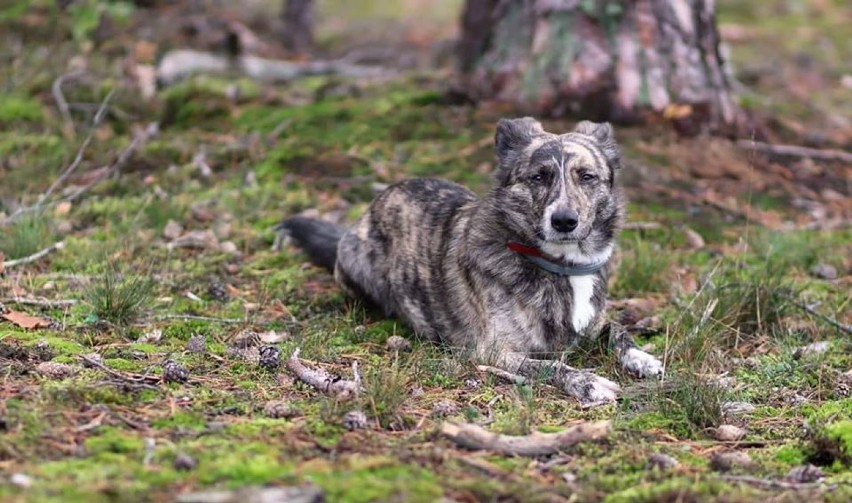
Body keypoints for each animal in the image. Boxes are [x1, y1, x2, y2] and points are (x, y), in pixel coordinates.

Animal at [280, 119, 664, 410]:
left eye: (586, 176)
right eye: (538, 176)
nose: (564, 221)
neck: (561, 265)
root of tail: (375, 203)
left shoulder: (594, 321)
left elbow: (618, 328)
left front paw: (641, 357)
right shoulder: (494, 351)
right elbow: (551, 365)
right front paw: (588, 382)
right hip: (358, 265)